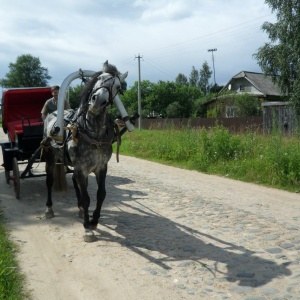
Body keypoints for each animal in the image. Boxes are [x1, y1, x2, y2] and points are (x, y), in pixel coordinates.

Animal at [42, 61, 127, 241]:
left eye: (117, 86)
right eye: (99, 79)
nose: (97, 101)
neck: (93, 134)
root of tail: (53, 113)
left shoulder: (101, 167)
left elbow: (101, 194)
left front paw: (94, 220)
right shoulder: (81, 168)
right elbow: (87, 197)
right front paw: (88, 228)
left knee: (76, 183)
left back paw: (80, 209)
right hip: (50, 157)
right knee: (49, 181)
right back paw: (49, 209)